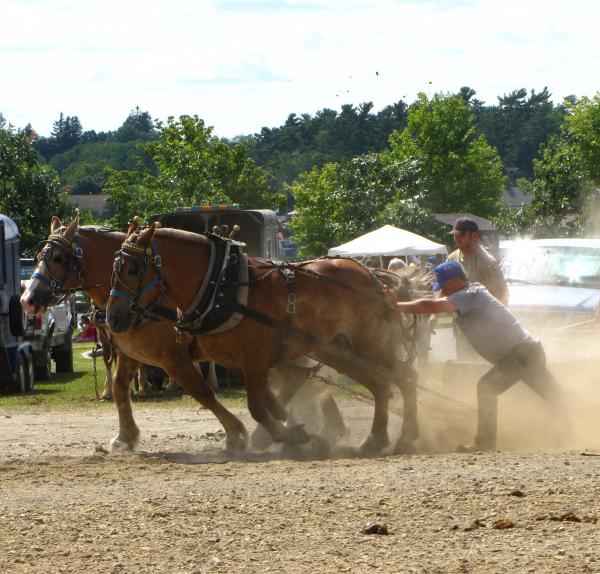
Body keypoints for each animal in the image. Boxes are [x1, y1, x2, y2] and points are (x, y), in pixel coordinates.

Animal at [108, 220, 426, 454]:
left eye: (134, 268)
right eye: (114, 267)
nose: (113, 318)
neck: (219, 284)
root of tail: (372, 273)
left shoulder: (252, 359)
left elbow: (257, 406)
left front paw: (287, 436)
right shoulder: (233, 361)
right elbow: (267, 403)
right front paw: (298, 434)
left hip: (369, 343)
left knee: (404, 378)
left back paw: (405, 437)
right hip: (338, 350)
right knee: (381, 385)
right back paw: (375, 440)